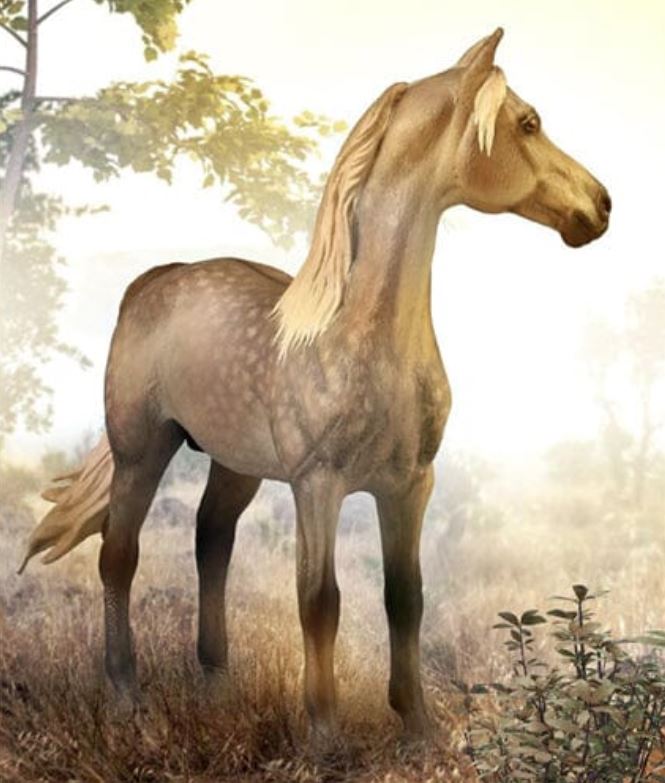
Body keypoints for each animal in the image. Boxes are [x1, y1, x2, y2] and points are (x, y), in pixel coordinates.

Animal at [21, 28, 611, 742]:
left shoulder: (410, 485)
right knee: (118, 555)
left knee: (211, 541)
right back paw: (126, 696)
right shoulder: (318, 486)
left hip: (235, 464)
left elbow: (405, 597)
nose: (600, 205)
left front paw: (417, 723)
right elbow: (319, 601)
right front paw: (325, 733)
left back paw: (216, 683)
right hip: (143, 451)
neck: (367, 340)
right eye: (528, 122)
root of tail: (154, 282)